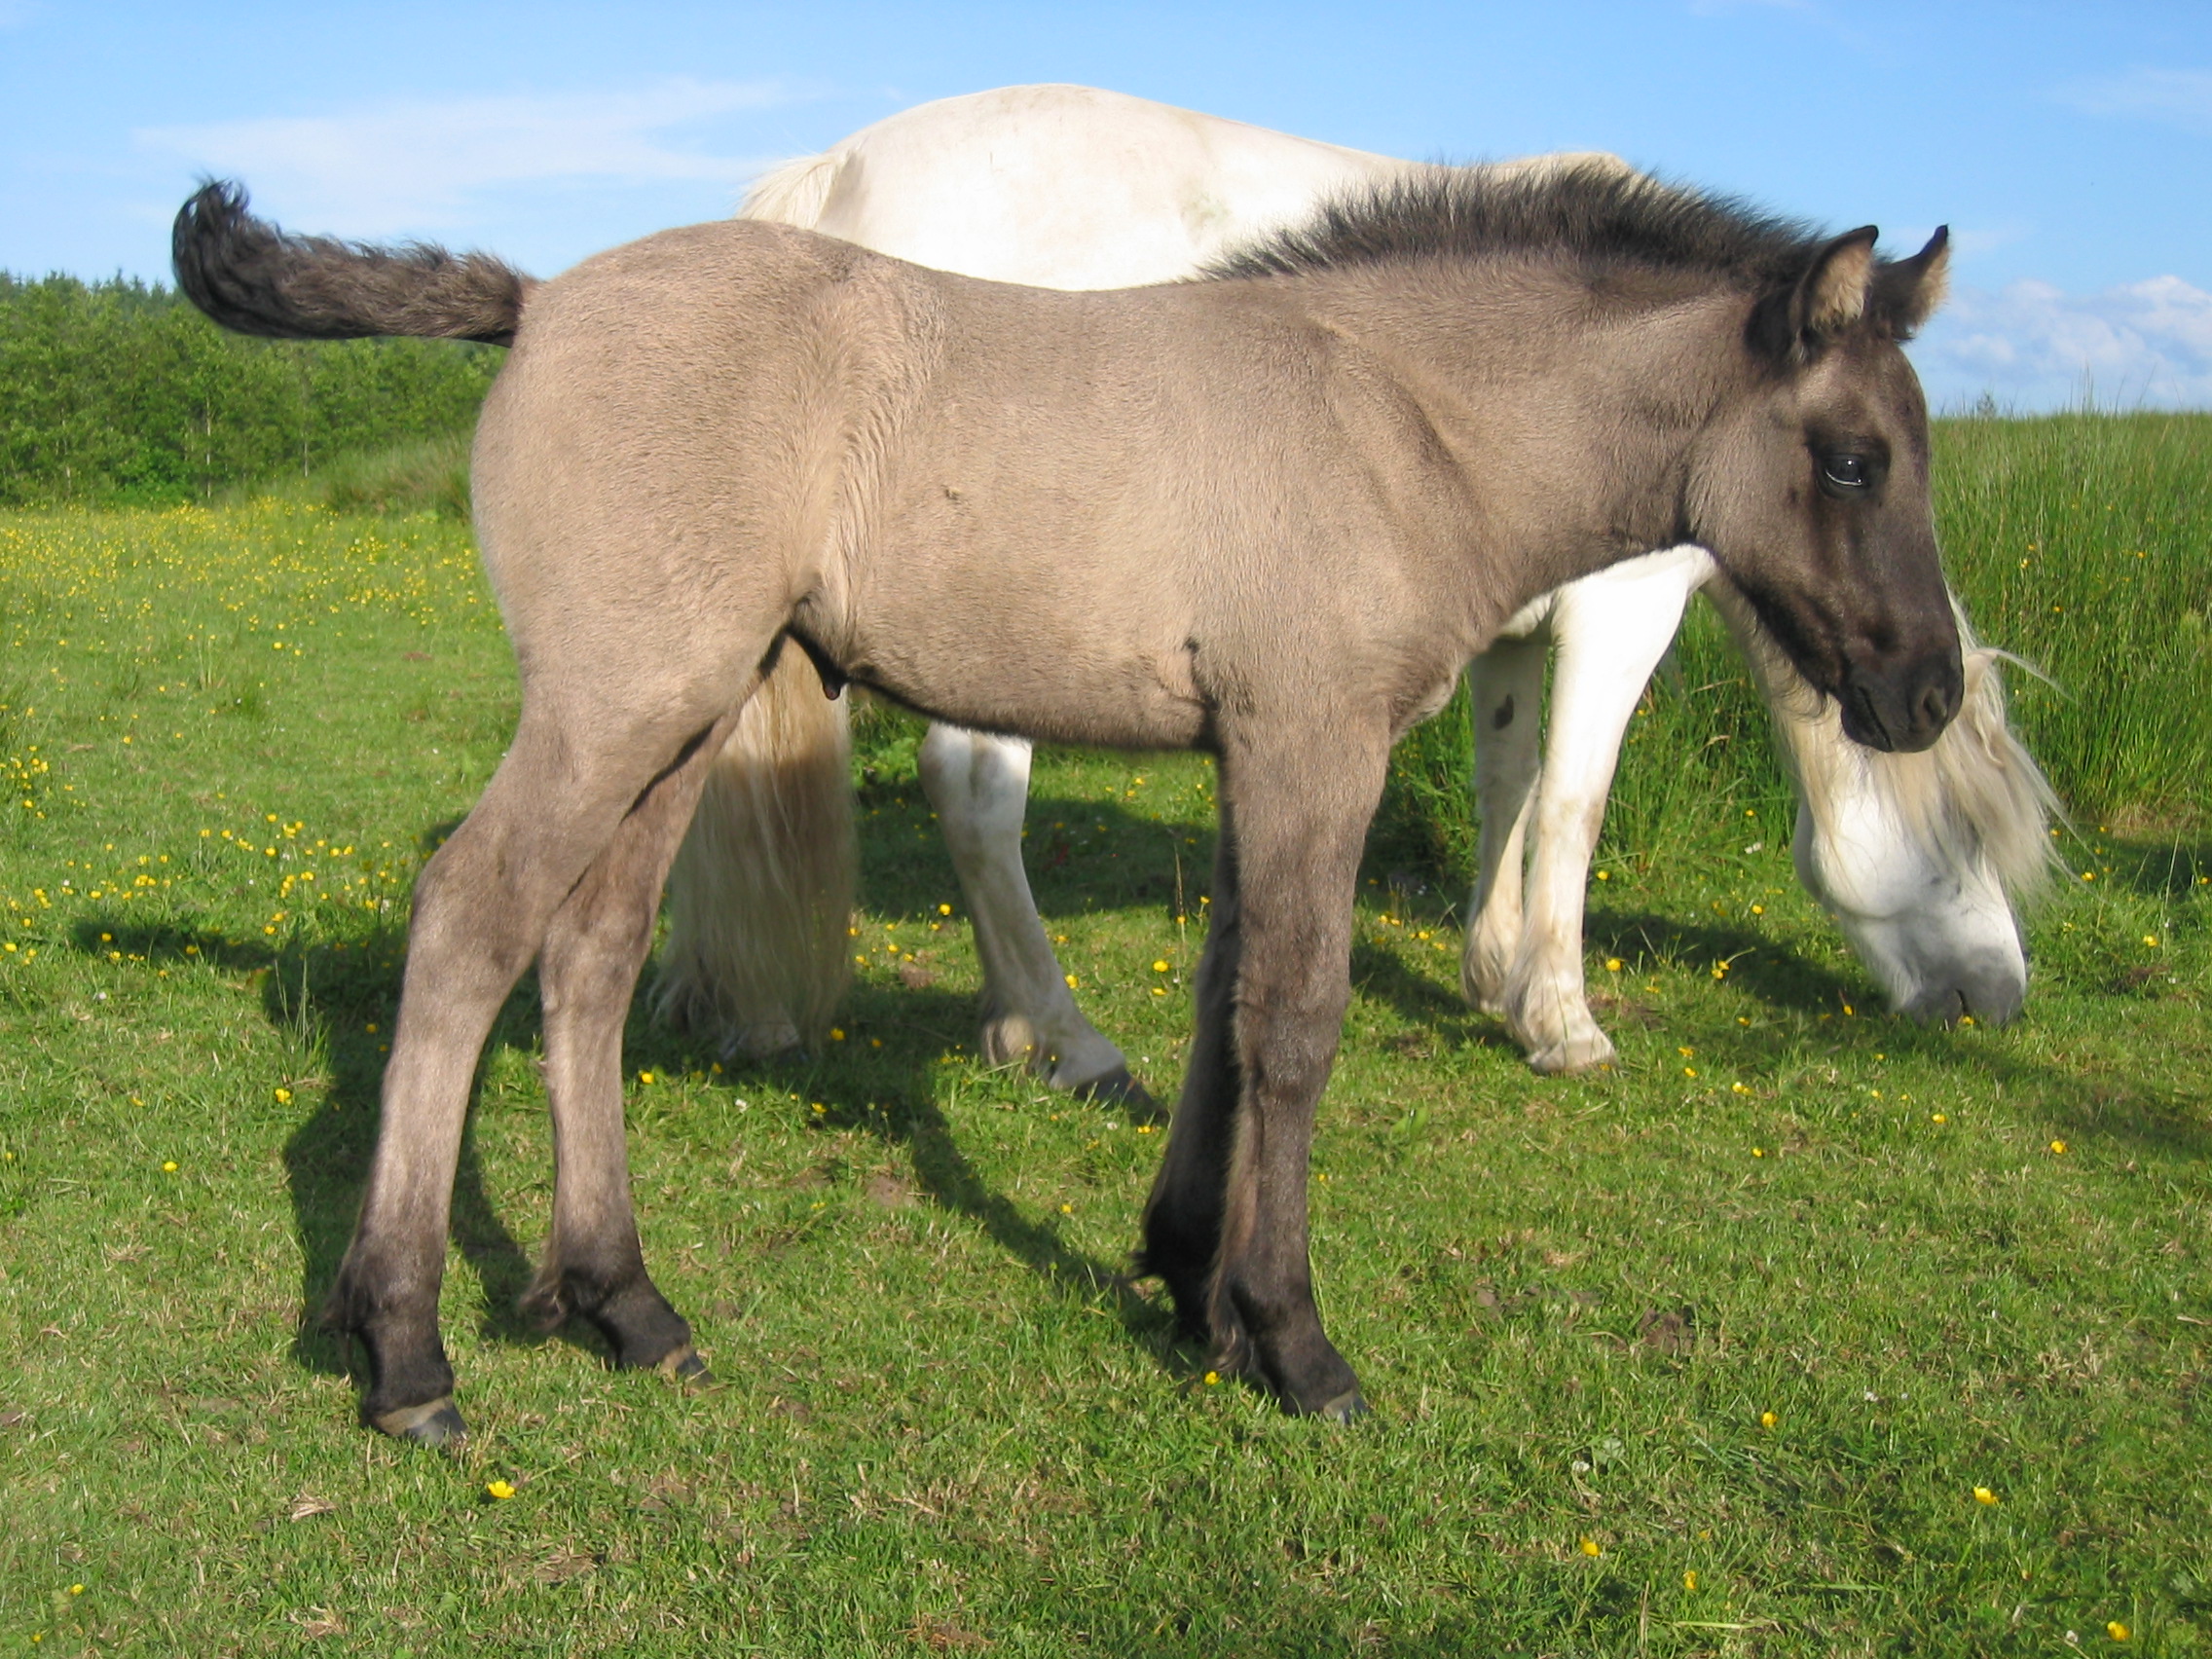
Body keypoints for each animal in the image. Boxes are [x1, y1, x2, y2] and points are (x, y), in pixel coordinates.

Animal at [181, 162, 1964, 1451]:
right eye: (1854, 459)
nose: (1928, 695)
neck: (1397, 423)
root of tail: (539, 297)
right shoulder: (1316, 738)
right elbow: (1297, 1021)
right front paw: (1294, 1340)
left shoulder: (1256, 753)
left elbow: (1226, 1000)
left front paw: (1188, 1284)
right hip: (611, 701)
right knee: (470, 920)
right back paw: (401, 1346)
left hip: (677, 712)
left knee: (592, 956)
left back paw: (624, 1303)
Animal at [649, 84, 2052, 1084]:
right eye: (1967, 835)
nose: (1998, 1001)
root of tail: (837, 176)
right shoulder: (1624, 612)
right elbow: (1576, 804)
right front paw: (1563, 1018)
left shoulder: (1507, 634)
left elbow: (1506, 783)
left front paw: (1491, 969)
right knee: (975, 796)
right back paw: (1068, 1036)